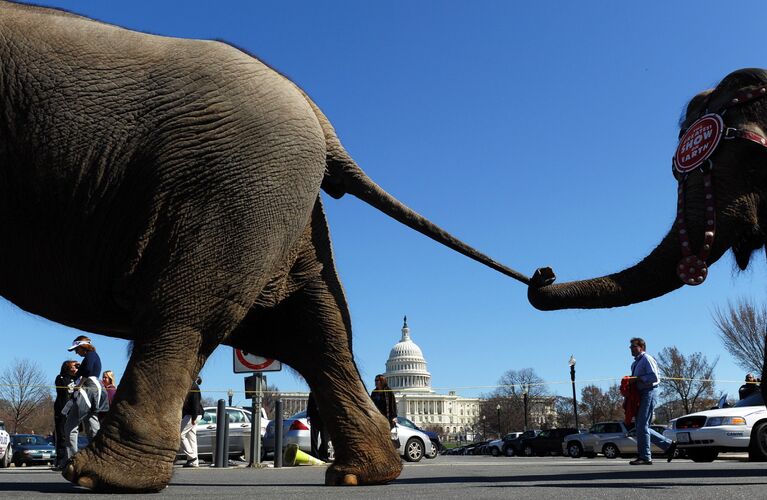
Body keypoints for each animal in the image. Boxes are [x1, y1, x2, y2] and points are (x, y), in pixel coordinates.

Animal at [0, 0, 528, 492]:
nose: (444, 427)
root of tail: (320, 120)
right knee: (316, 331)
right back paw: (360, 471)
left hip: (230, 192)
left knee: (190, 316)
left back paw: (99, 475)